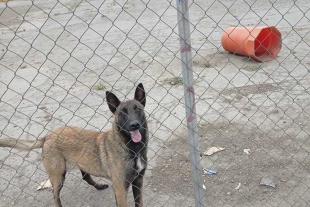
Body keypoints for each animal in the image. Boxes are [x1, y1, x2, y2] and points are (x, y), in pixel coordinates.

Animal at [0, 83, 149, 206]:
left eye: (138, 109)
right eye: (123, 112)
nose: (134, 125)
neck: (130, 148)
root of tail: (47, 136)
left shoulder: (138, 182)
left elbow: (139, 203)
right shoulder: (120, 189)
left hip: (82, 164)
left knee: (85, 177)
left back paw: (99, 186)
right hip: (58, 176)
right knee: (55, 195)